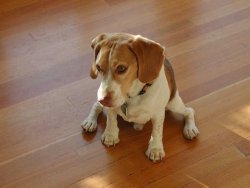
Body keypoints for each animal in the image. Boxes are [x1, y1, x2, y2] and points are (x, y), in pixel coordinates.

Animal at [82, 32, 199, 162]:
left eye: (121, 68)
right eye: (98, 68)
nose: (103, 99)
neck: (133, 96)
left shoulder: (158, 113)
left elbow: (157, 131)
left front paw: (155, 149)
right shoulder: (111, 106)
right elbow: (111, 119)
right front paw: (110, 135)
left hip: (173, 103)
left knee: (189, 111)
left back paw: (190, 128)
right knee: (96, 105)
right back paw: (90, 121)